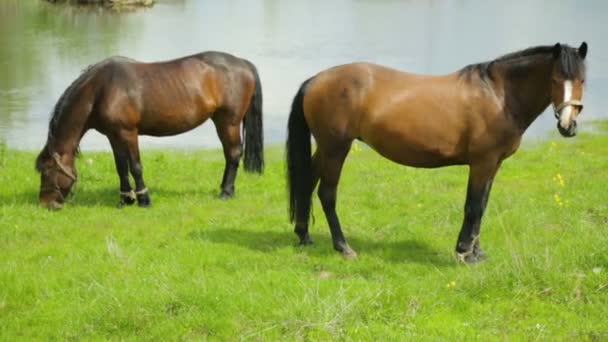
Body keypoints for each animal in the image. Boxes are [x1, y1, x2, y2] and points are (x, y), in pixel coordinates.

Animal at [36, 50, 264, 208]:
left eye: (46, 171)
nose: (46, 203)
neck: (101, 89)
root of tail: (243, 63)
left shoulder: (128, 133)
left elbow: (135, 166)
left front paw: (144, 199)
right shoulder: (113, 135)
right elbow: (121, 167)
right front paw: (125, 199)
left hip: (228, 122)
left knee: (233, 154)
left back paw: (226, 192)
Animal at [288, 42, 588, 262]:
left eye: (582, 80)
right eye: (555, 79)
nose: (567, 125)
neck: (498, 95)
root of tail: (315, 80)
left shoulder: (494, 165)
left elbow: (482, 206)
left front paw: (478, 252)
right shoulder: (482, 163)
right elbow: (473, 206)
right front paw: (465, 252)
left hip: (326, 148)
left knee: (307, 182)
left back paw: (303, 235)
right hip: (336, 148)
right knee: (327, 194)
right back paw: (343, 246)